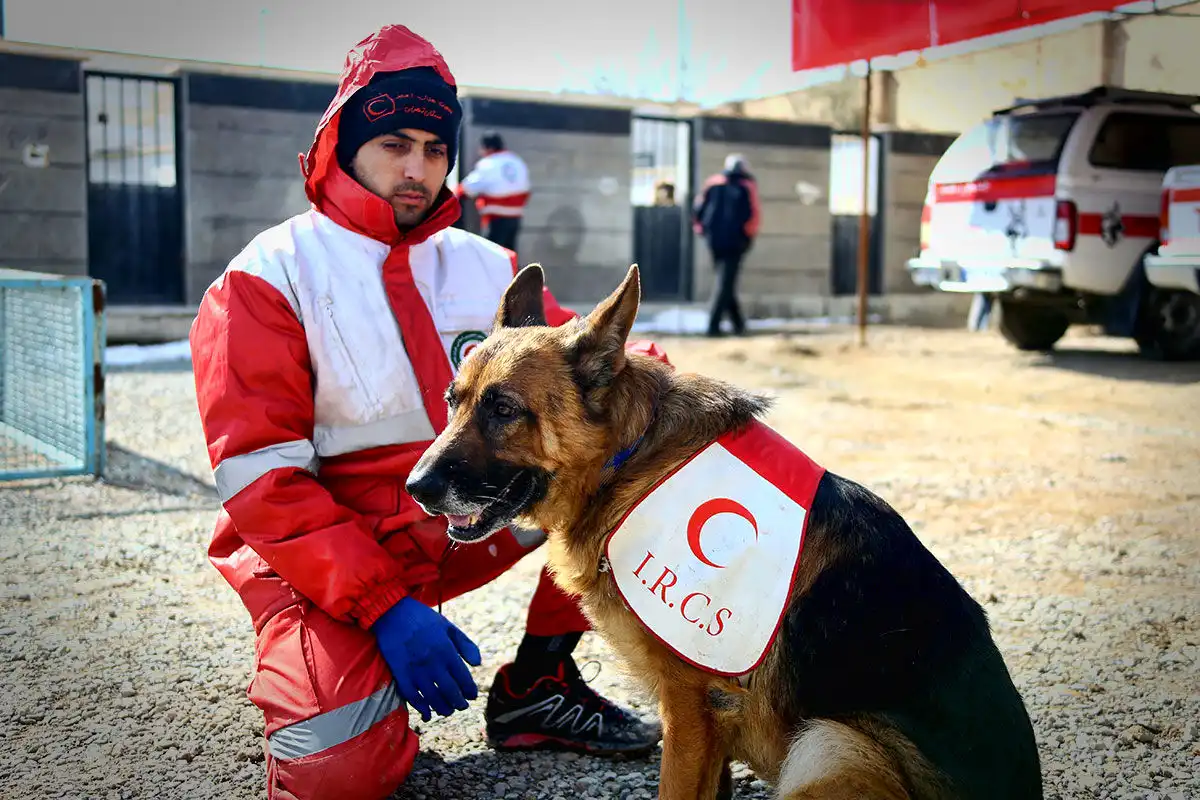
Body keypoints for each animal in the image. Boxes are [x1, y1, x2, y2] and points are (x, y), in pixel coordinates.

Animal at [405, 266, 1041, 796]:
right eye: (452, 400)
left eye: (504, 410)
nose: (415, 487)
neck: (630, 460)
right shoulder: (707, 727)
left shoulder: (691, 712)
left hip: (831, 746)